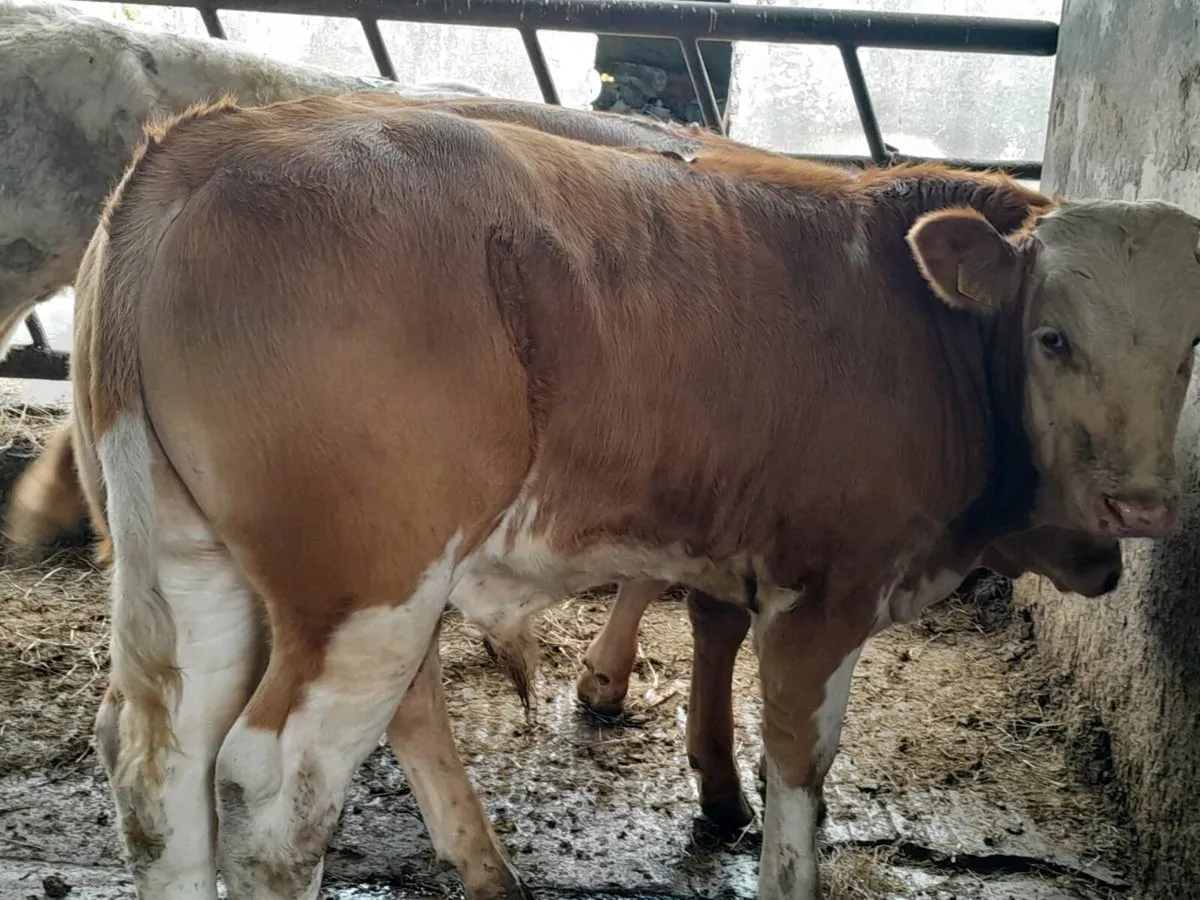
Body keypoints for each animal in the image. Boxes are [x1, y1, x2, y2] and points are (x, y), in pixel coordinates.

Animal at [67, 90, 1200, 900]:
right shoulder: (828, 590)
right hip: (368, 584)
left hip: (193, 563)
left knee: (161, 768)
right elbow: (802, 768)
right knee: (278, 789)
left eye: (1191, 348)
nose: (1142, 507)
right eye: (1052, 338)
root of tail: (211, 140)